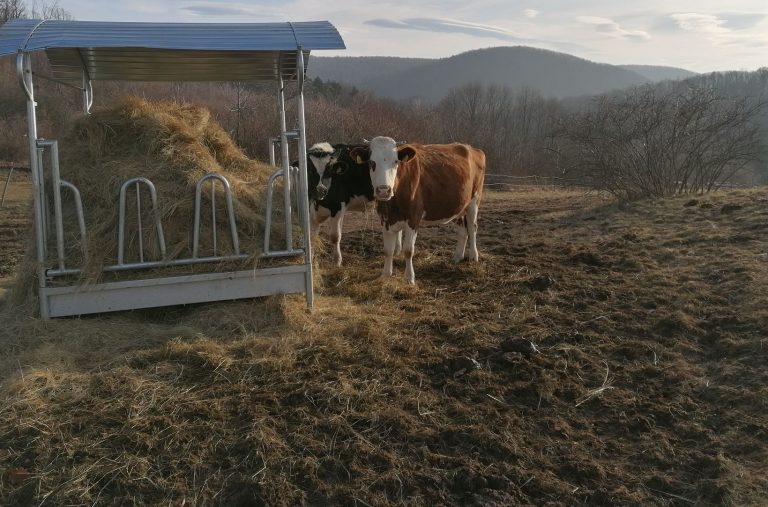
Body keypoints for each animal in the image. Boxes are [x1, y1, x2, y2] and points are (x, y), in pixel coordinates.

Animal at [350, 137, 486, 284]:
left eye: (396, 161)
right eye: (371, 162)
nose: (384, 190)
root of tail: (471, 148)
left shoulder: (413, 218)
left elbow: (408, 250)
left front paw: (409, 278)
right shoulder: (385, 219)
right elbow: (388, 250)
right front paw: (385, 275)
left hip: (474, 200)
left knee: (472, 227)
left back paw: (473, 256)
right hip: (459, 205)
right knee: (462, 231)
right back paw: (457, 257)